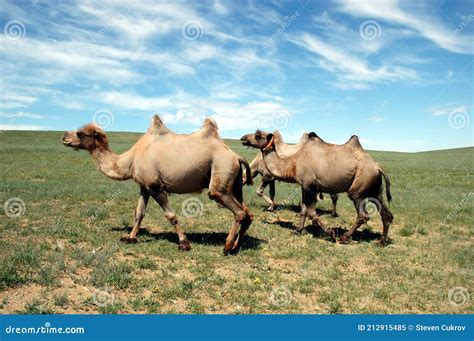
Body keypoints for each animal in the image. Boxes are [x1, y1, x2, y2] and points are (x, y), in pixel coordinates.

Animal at [63, 115, 256, 254]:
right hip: (234, 185)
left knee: (237, 210)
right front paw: (130, 237)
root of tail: (236, 156)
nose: (64, 136)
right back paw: (237, 246)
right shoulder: (144, 187)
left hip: (221, 172)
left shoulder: (155, 186)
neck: (131, 159)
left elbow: (170, 215)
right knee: (248, 212)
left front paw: (184, 244)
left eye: (80, 133)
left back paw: (227, 246)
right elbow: (139, 213)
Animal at [241, 130, 392, 244]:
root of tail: (378, 168)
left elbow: (312, 213)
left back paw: (344, 238)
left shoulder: (310, 186)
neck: (294, 162)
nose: (243, 138)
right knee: (386, 214)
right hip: (376, 189)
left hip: (359, 189)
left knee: (362, 215)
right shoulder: (304, 186)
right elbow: (303, 210)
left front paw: (331, 233)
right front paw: (297, 231)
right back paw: (381, 242)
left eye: (258, 135)